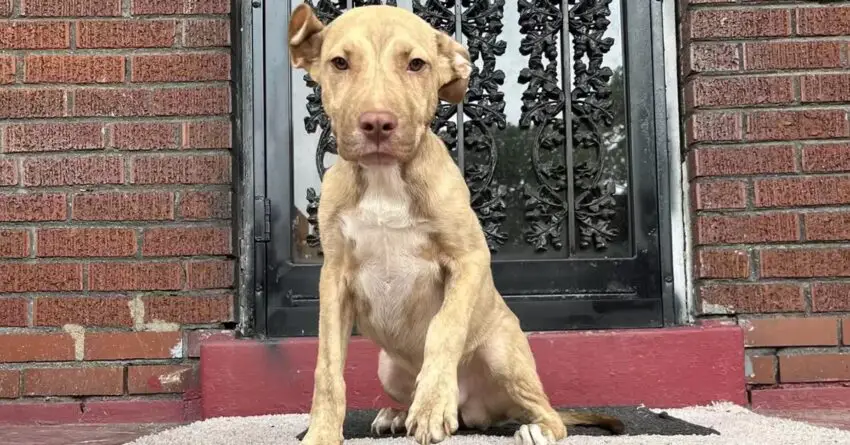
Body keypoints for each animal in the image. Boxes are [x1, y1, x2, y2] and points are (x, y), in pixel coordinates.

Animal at [286, 4, 624, 444]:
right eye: (339, 63)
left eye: (416, 64)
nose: (377, 123)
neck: (384, 179)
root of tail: (476, 410)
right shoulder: (334, 278)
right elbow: (327, 366)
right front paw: (322, 432)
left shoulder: (469, 258)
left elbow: (444, 328)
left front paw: (431, 406)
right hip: (388, 367)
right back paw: (398, 414)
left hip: (503, 352)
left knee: (549, 413)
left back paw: (533, 428)